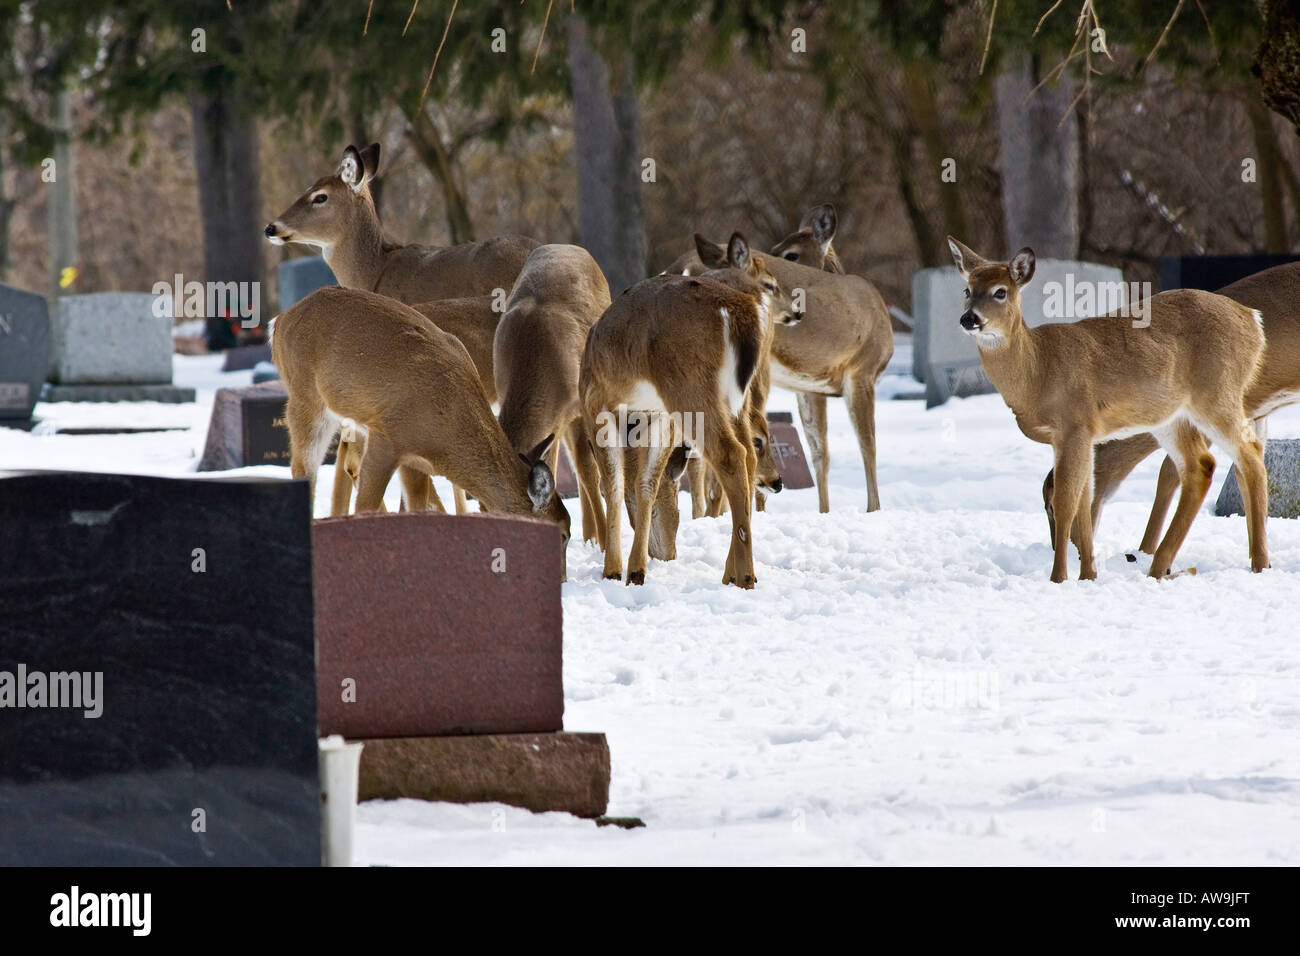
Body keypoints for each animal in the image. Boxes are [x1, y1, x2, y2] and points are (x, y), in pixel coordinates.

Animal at [272, 286, 571, 576]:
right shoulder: (387, 438)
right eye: (562, 533)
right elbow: (365, 506)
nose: (562, 579)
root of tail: (280, 321)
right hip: (305, 399)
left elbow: (416, 507)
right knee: (304, 470)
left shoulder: (413, 460)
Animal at [580, 233, 801, 588]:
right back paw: (730, 572)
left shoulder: (598, 411)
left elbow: (614, 485)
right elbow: (645, 484)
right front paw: (636, 571)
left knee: (730, 454)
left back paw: (745, 575)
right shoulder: (657, 419)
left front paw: (613, 570)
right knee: (748, 453)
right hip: (734, 398)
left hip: (689, 385)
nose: (665, 553)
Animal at [664, 213, 892, 515]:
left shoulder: (810, 386)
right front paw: (873, 509)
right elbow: (868, 445)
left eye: (789, 252)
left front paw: (824, 511)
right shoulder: (861, 372)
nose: (797, 311)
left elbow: (819, 450)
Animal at [947, 237, 1269, 582]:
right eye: (967, 289)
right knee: (1202, 465)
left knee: (1248, 452)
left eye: (1000, 291)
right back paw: (1161, 567)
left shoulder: (1073, 424)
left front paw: (1058, 577)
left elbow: (1066, 500)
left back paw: (1258, 562)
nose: (969, 319)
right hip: (1171, 415)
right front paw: (1088, 574)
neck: (1038, 370)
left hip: (1216, 393)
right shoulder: (1082, 435)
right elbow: (1084, 500)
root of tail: (1254, 322)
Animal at [1041, 261, 1300, 555]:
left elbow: (1170, 471)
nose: (1063, 549)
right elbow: (1241, 472)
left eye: (1051, 506)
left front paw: (1146, 549)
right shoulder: (1255, 413)